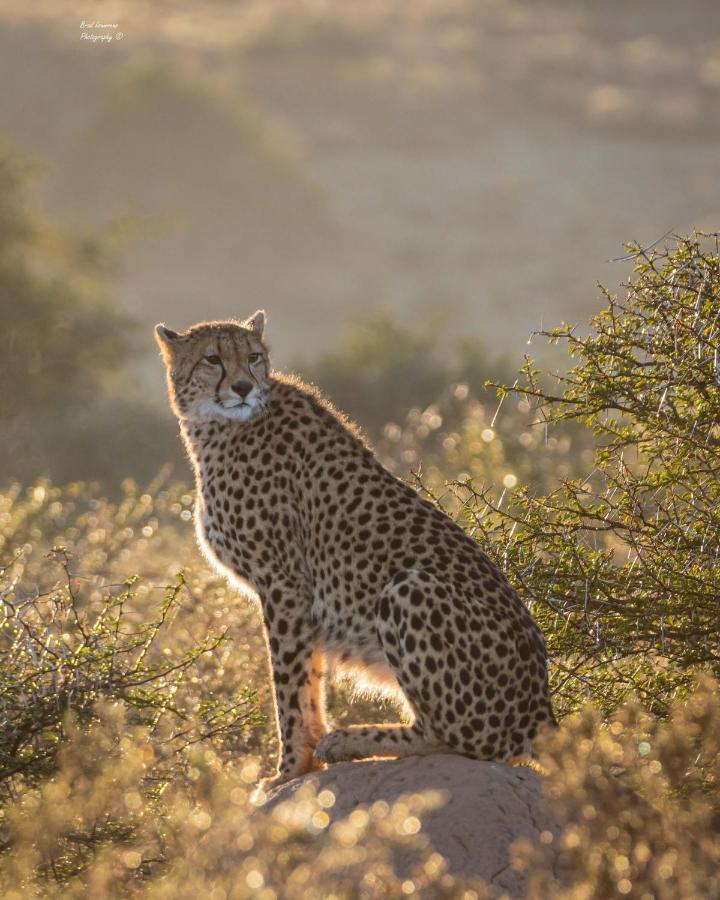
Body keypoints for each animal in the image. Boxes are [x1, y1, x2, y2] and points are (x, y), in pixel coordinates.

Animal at [155, 312, 556, 792]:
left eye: (252, 356)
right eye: (212, 359)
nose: (243, 387)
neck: (217, 426)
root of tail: (542, 707)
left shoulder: (283, 585)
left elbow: (288, 688)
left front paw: (290, 769)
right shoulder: (298, 599)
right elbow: (309, 684)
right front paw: (304, 761)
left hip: (409, 586)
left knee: (461, 737)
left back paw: (349, 740)